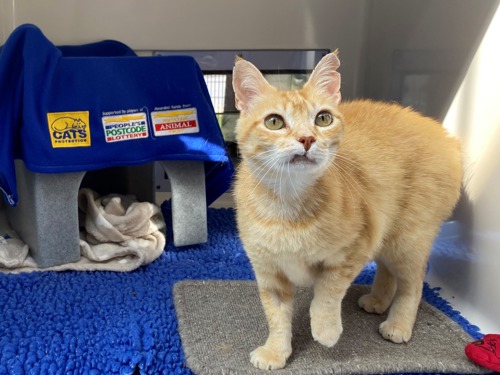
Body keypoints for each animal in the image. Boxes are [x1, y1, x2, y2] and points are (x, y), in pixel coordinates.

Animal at [232, 51, 462, 372]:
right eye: (274, 121)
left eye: (323, 118)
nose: (307, 139)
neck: (287, 206)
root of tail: (445, 137)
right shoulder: (269, 273)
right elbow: (276, 316)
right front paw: (276, 351)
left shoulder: (355, 248)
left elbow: (327, 293)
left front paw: (325, 329)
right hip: (389, 236)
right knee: (387, 270)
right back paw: (378, 300)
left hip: (407, 239)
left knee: (413, 283)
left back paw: (399, 324)